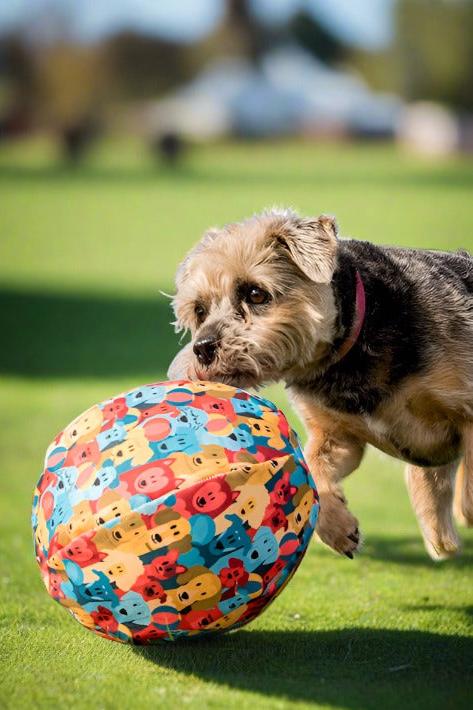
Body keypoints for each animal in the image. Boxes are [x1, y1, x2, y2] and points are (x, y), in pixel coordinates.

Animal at [168, 209, 472, 564]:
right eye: (200, 310)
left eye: (255, 293)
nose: (202, 348)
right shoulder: (336, 436)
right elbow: (312, 466)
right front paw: (338, 528)